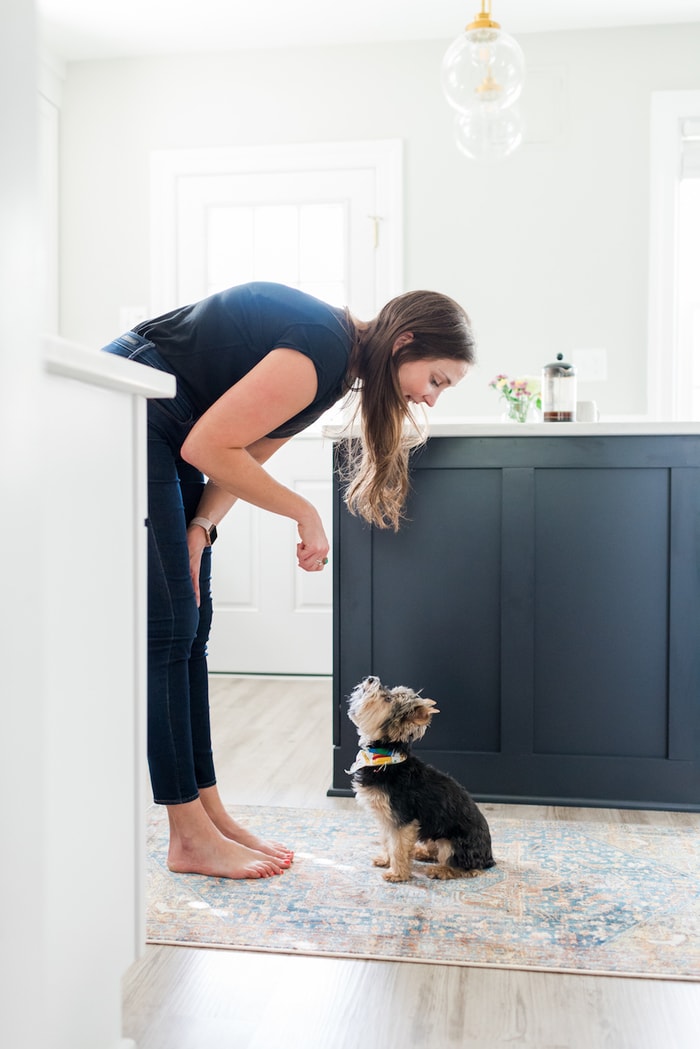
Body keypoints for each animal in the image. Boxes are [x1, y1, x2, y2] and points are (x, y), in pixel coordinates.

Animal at [348, 675, 495, 881]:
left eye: (388, 699)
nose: (371, 678)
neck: (385, 758)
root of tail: (489, 858)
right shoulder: (386, 818)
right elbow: (386, 841)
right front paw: (385, 859)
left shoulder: (403, 818)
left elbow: (398, 847)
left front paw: (397, 874)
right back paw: (421, 852)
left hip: (452, 843)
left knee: (464, 867)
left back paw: (440, 870)